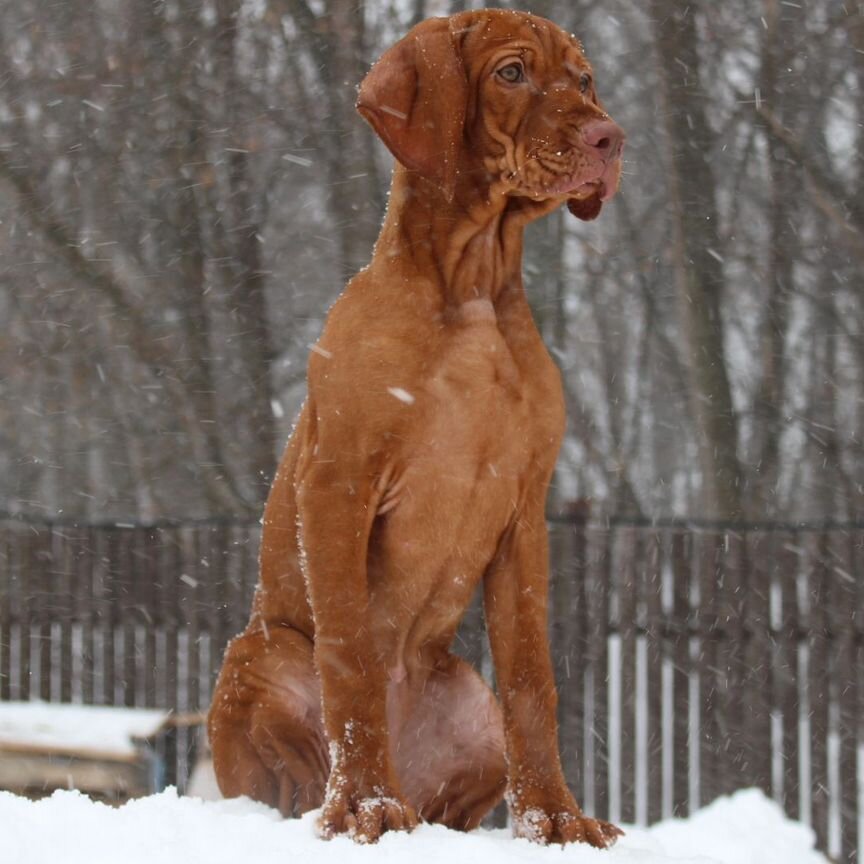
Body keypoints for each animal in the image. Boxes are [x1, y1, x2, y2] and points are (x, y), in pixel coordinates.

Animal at [209, 8, 628, 844]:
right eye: (511, 73)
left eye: (584, 79)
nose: (611, 138)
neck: (473, 288)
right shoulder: (338, 483)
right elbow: (350, 660)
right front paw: (365, 803)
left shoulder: (525, 510)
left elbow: (533, 679)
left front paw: (554, 818)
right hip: (259, 655)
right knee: (294, 766)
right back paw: (339, 800)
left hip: (472, 713)